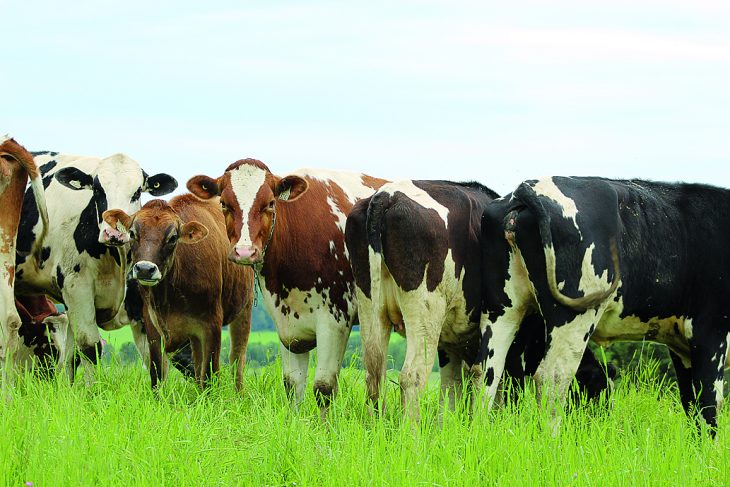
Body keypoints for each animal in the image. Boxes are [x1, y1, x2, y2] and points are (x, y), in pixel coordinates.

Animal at [14, 151, 176, 378]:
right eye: (98, 190)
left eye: (137, 192)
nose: (114, 233)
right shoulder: (77, 288)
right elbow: (90, 348)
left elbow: (156, 357)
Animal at [103, 195, 253, 389]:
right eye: (132, 233)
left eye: (173, 237)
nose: (145, 269)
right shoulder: (151, 324)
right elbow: (157, 372)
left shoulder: (212, 323)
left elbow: (210, 374)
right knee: (198, 363)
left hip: (244, 308)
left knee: (237, 359)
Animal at [187, 159, 387, 416]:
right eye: (224, 203)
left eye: (270, 204)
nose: (244, 251)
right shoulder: (287, 324)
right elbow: (293, 384)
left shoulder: (335, 319)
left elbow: (324, 387)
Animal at [346, 180, 615, 421]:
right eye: (597, 389)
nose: (600, 420)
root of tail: (387, 195)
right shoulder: (515, 339)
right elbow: (506, 389)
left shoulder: (451, 343)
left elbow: (452, 390)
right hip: (425, 313)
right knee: (412, 376)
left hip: (371, 306)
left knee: (373, 374)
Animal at [478, 176, 730, 434]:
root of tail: (529, 186)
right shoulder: (710, 332)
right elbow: (710, 406)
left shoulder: (682, 346)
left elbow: (691, 404)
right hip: (573, 318)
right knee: (551, 378)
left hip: (501, 311)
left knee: (487, 374)